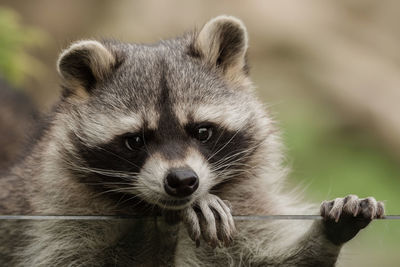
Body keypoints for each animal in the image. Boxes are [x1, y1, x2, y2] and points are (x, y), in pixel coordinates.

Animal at [0, 15, 384, 266]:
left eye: (202, 131)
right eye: (135, 140)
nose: (183, 181)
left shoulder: (247, 209)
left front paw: (329, 230)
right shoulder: (56, 221)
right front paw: (159, 231)